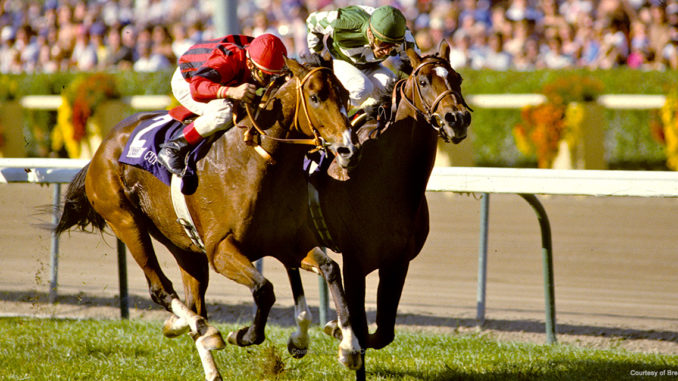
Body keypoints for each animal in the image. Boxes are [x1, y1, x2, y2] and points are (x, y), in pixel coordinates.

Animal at [53, 57, 364, 380]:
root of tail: (102, 149)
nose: (349, 149)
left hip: (184, 245)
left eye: (345, 94)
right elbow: (264, 289)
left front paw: (349, 348)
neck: (257, 162)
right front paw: (242, 335)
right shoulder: (221, 250)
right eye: (315, 97)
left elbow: (330, 269)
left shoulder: (287, 242)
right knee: (161, 289)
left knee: (194, 301)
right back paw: (206, 331)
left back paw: (198, 347)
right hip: (126, 221)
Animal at [292, 40, 472, 378]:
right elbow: (361, 327)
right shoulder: (355, 262)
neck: (387, 179)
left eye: (458, 78)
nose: (457, 118)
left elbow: (383, 331)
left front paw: (335, 328)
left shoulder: (397, 262)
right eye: (424, 81)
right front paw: (344, 340)